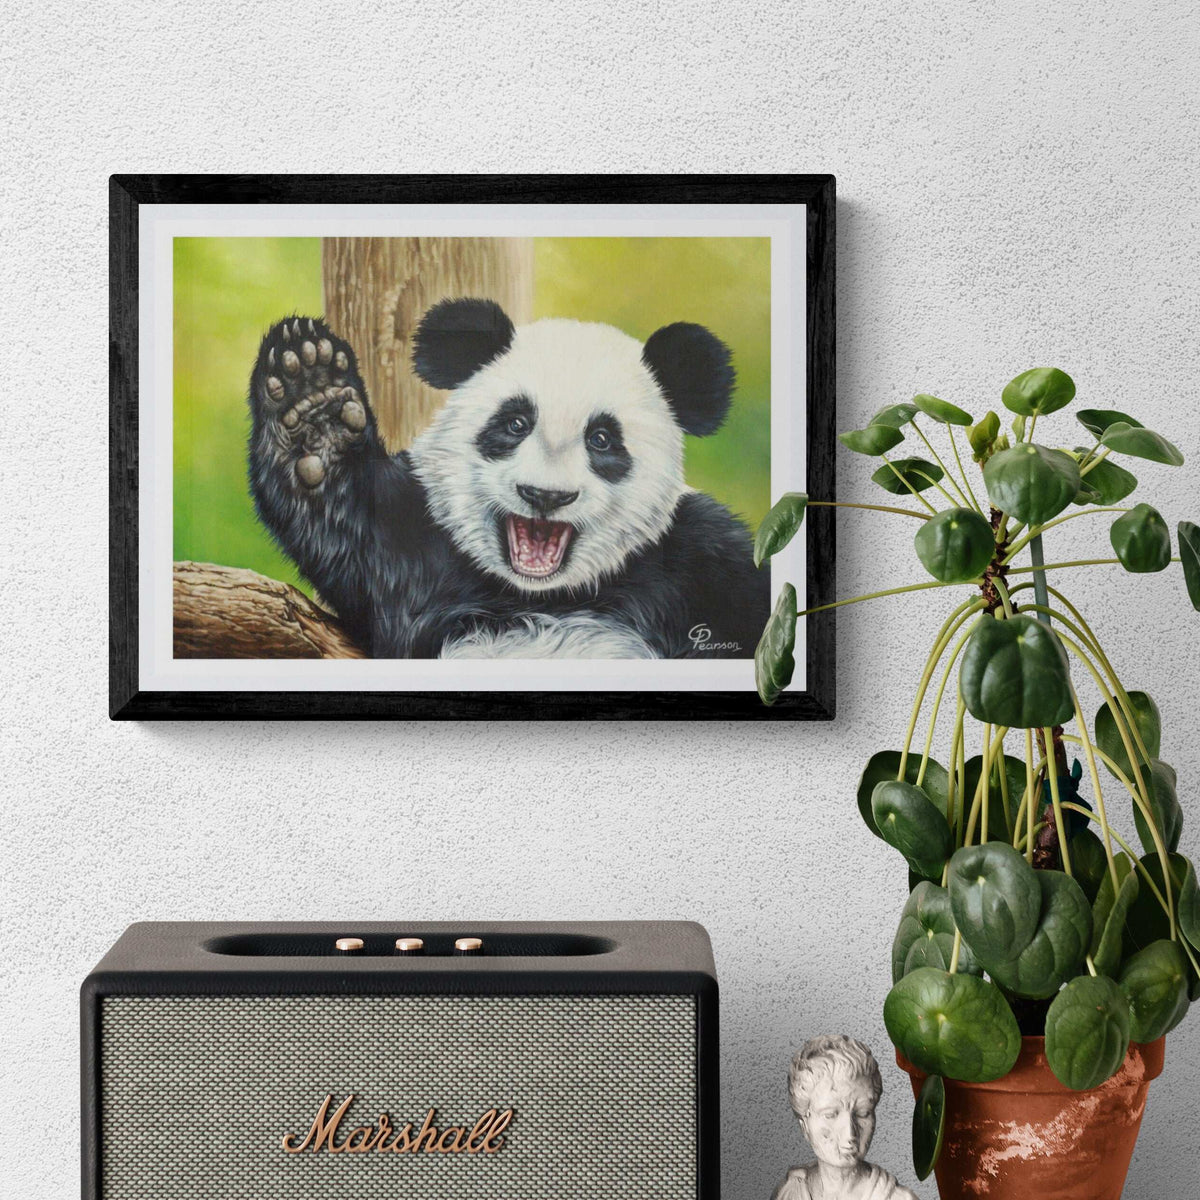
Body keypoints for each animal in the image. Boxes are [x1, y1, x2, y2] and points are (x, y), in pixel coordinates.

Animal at [247, 299, 768, 659]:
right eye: (516, 423)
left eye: (601, 439)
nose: (545, 496)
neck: (538, 595)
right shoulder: (415, 545)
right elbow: (342, 519)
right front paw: (312, 398)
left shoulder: (700, 559)